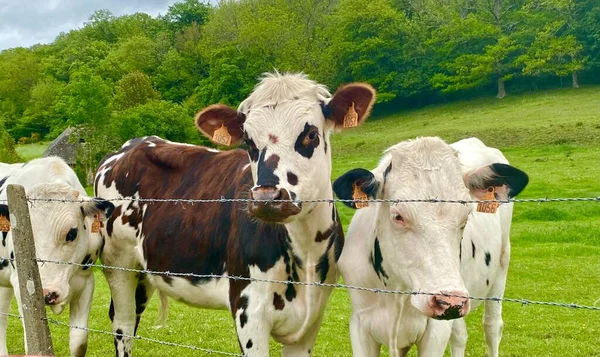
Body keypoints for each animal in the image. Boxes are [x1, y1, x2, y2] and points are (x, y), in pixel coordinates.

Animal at [94, 72, 376, 356]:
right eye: (249, 142)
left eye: (311, 134)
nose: (266, 199)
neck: (305, 252)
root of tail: (130, 145)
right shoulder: (248, 310)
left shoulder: (311, 319)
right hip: (118, 265)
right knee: (123, 324)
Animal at [332, 137, 528, 356]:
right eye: (398, 216)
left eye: (466, 215)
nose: (449, 301)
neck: (397, 291)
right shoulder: (360, 324)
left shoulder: (436, 330)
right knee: (460, 336)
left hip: (500, 268)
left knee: (492, 327)